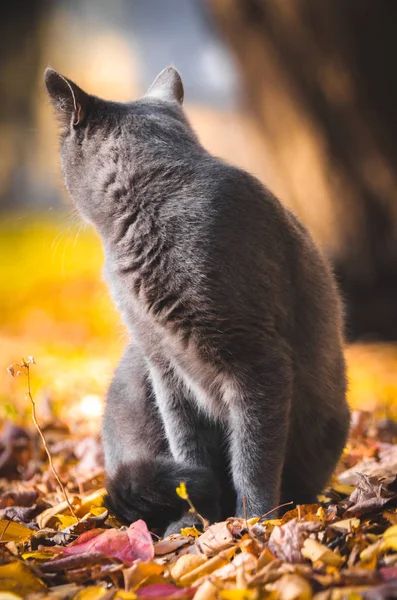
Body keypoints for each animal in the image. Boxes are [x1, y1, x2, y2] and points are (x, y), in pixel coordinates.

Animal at [44, 67, 350, 536]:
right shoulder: (163, 365)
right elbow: (188, 449)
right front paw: (195, 525)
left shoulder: (257, 359)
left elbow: (252, 456)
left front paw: (252, 525)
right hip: (134, 378)